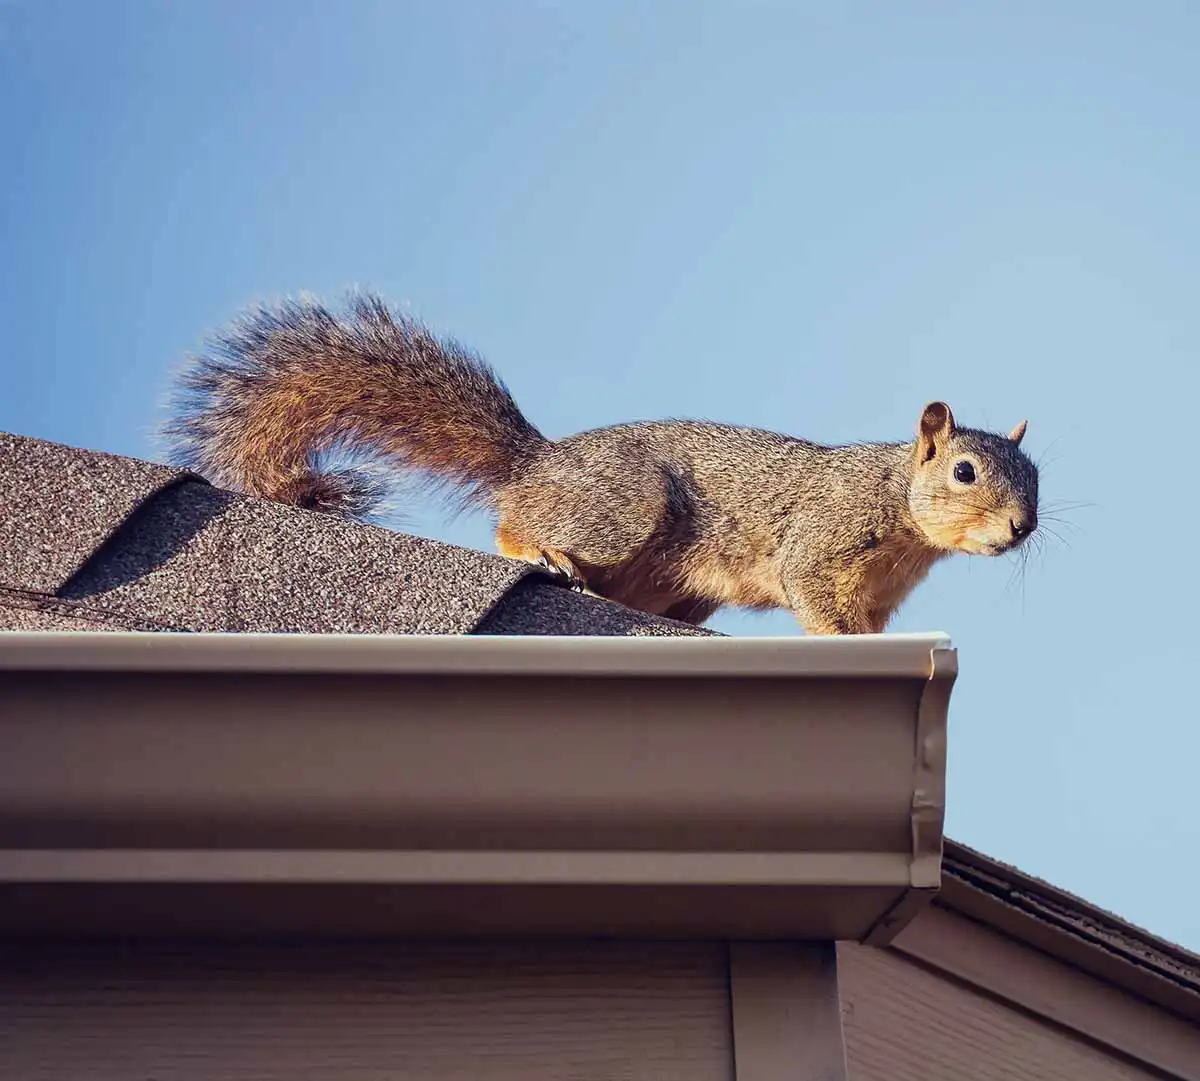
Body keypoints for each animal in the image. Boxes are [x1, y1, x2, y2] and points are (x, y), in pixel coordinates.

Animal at [163, 291, 1040, 634]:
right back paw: (542, 550)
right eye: (965, 471)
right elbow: (812, 593)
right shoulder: (823, 537)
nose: (1021, 527)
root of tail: (539, 461)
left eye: (1036, 479)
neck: (900, 507)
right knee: (513, 524)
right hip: (622, 509)